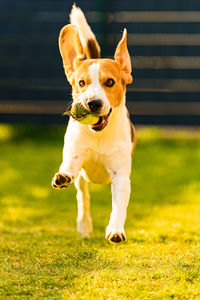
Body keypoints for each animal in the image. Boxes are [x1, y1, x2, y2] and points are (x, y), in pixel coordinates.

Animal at [51, 4, 136, 244]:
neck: (99, 135)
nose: (93, 103)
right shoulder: (74, 155)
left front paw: (115, 230)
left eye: (110, 82)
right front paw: (63, 176)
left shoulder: (120, 176)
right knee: (83, 197)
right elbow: (69, 168)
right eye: (81, 83)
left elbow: (118, 206)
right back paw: (84, 226)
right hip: (82, 179)